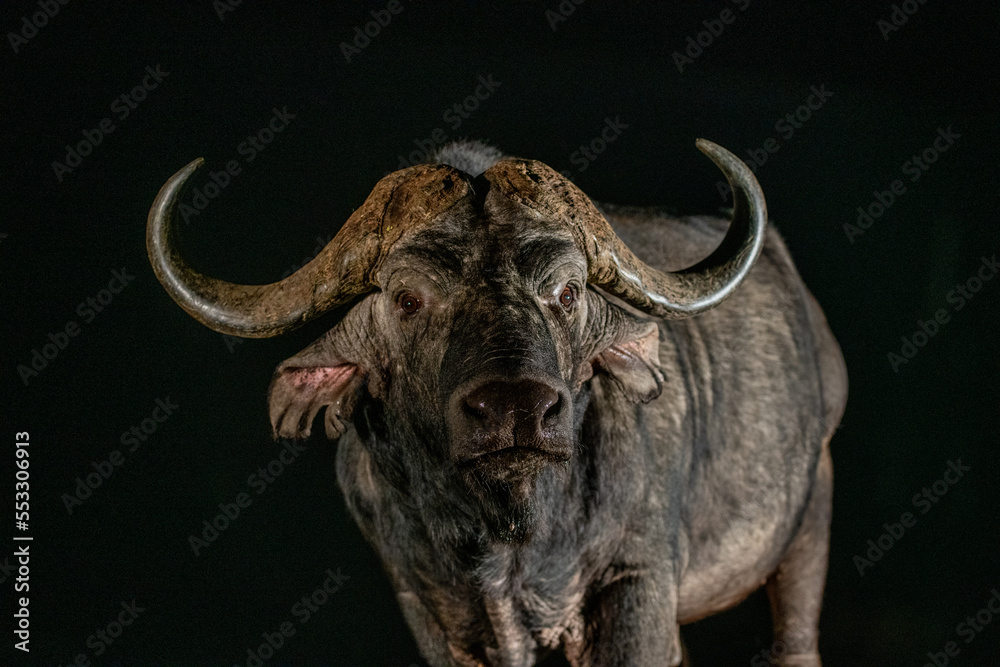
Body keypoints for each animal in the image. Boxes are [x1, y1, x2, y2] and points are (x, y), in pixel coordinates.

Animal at [147, 139, 847, 666]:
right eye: (407, 299)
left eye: (567, 292)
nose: (517, 411)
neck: (509, 535)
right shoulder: (429, 611)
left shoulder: (638, 582)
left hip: (810, 516)